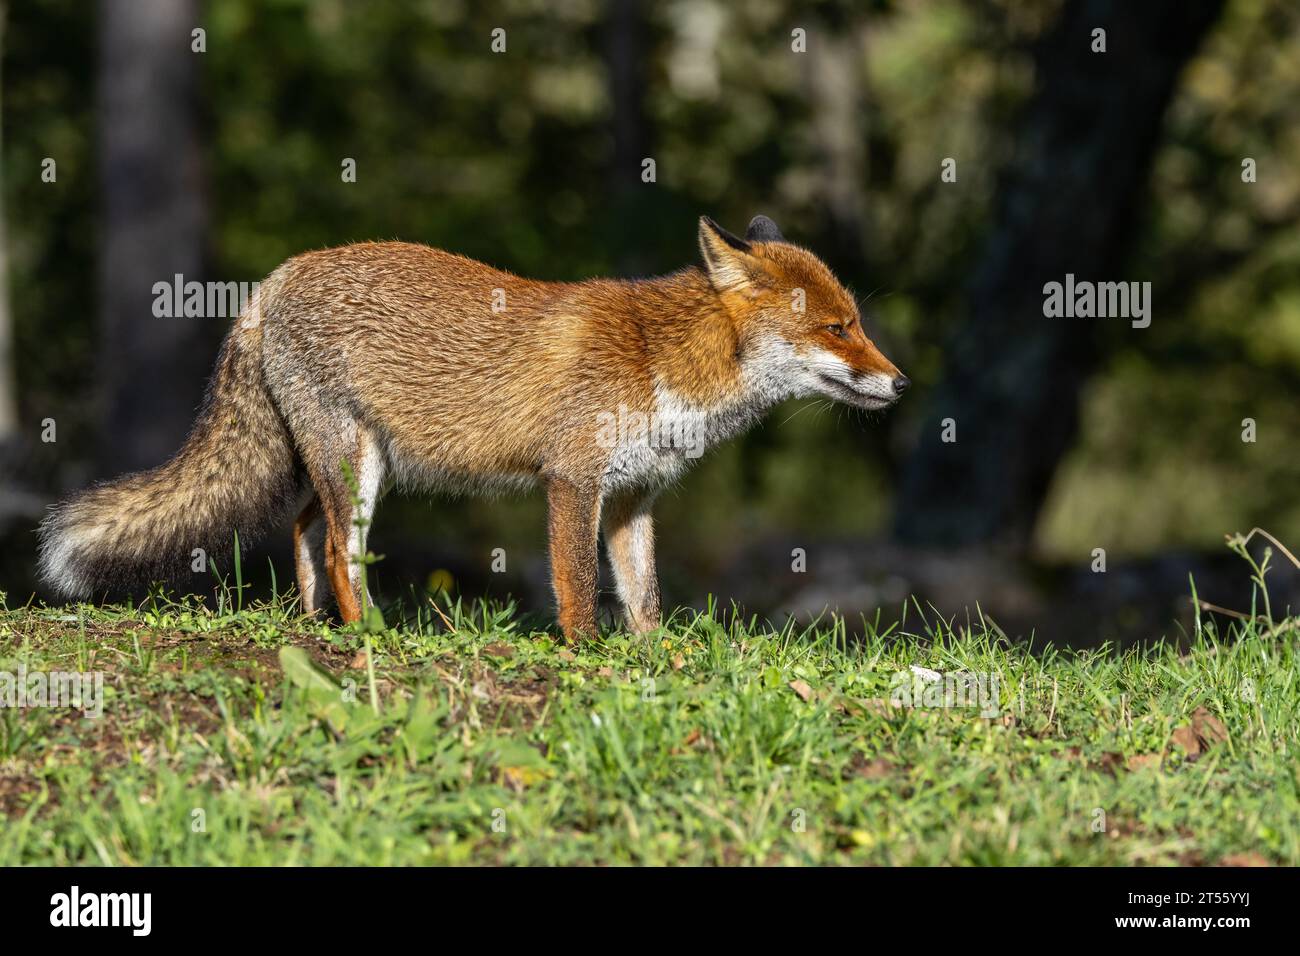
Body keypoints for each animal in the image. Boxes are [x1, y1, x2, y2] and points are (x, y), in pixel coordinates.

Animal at [38, 215, 908, 641]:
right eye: (837, 328)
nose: (900, 383)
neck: (664, 361)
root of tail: (275, 277)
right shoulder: (573, 480)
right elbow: (577, 590)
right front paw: (586, 658)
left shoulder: (634, 499)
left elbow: (646, 598)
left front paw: (654, 659)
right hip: (354, 464)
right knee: (339, 548)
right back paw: (371, 636)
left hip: (352, 464)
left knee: (303, 530)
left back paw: (316, 626)